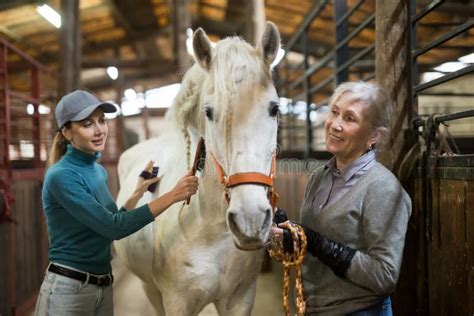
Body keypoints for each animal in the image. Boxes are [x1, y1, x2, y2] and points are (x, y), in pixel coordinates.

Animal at [115, 21, 282, 314]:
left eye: (274, 109)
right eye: (208, 112)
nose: (249, 220)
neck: (211, 230)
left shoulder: (240, 298)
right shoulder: (177, 302)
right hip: (150, 288)